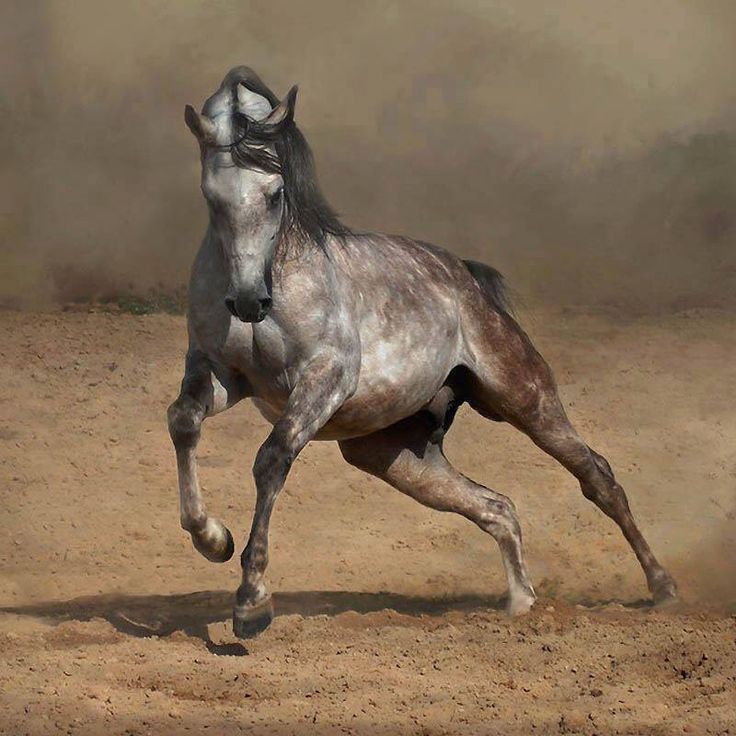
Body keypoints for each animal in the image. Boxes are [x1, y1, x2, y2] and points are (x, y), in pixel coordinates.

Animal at [168, 66, 677, 639]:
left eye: (276, 193)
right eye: (212, 198)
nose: (248, 301)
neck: (282, 274)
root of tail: (466, 277)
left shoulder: (324, 379)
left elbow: (272, 459)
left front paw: (251, 601)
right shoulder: (222, 374)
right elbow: (183, 421)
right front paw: (212, 539)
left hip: (527, 401)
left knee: (598, 477)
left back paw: (662, 587)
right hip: (396, 456)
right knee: (498, 506)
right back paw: (520, 603)